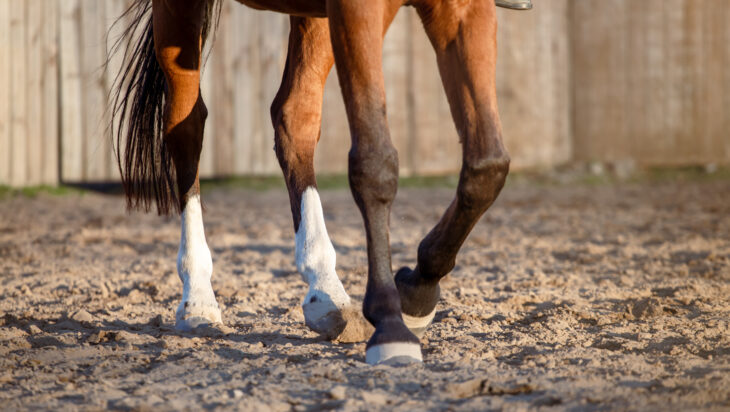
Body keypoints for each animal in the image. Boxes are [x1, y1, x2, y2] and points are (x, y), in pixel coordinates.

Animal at [111, 0, 509, 365]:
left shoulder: (465, 9)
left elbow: (487, 166)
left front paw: (417, 292)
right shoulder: (357, 9)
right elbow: (374, 163)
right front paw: (390, 324)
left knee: (293, 116)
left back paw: (324, 288)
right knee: (186, 128)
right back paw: (197, 297)